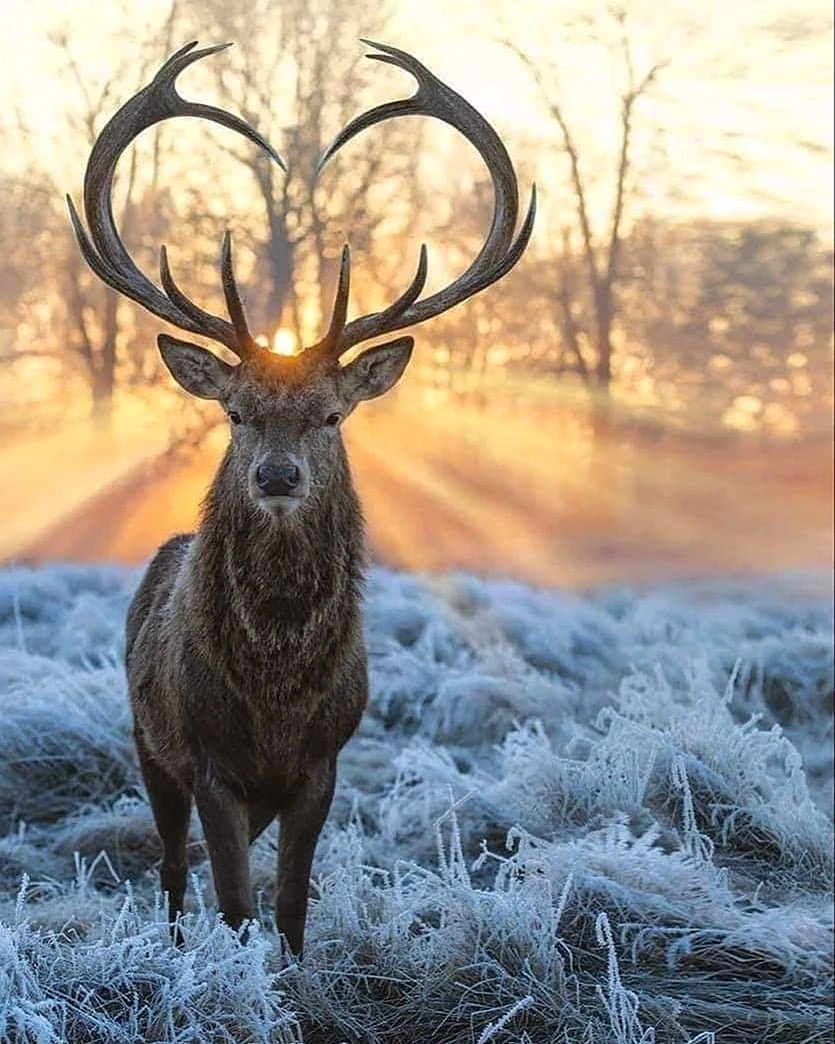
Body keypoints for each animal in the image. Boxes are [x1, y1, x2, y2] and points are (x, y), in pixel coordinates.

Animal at [67, 39, 535, 956]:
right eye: (236, 412)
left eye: (329, 414)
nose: (277, 475)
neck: (277, 695)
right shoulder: (207, 759)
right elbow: (234, 901)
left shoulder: (325, 761)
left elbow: (287, 905)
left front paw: (292, 969)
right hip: (144, 737)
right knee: (171, 867)